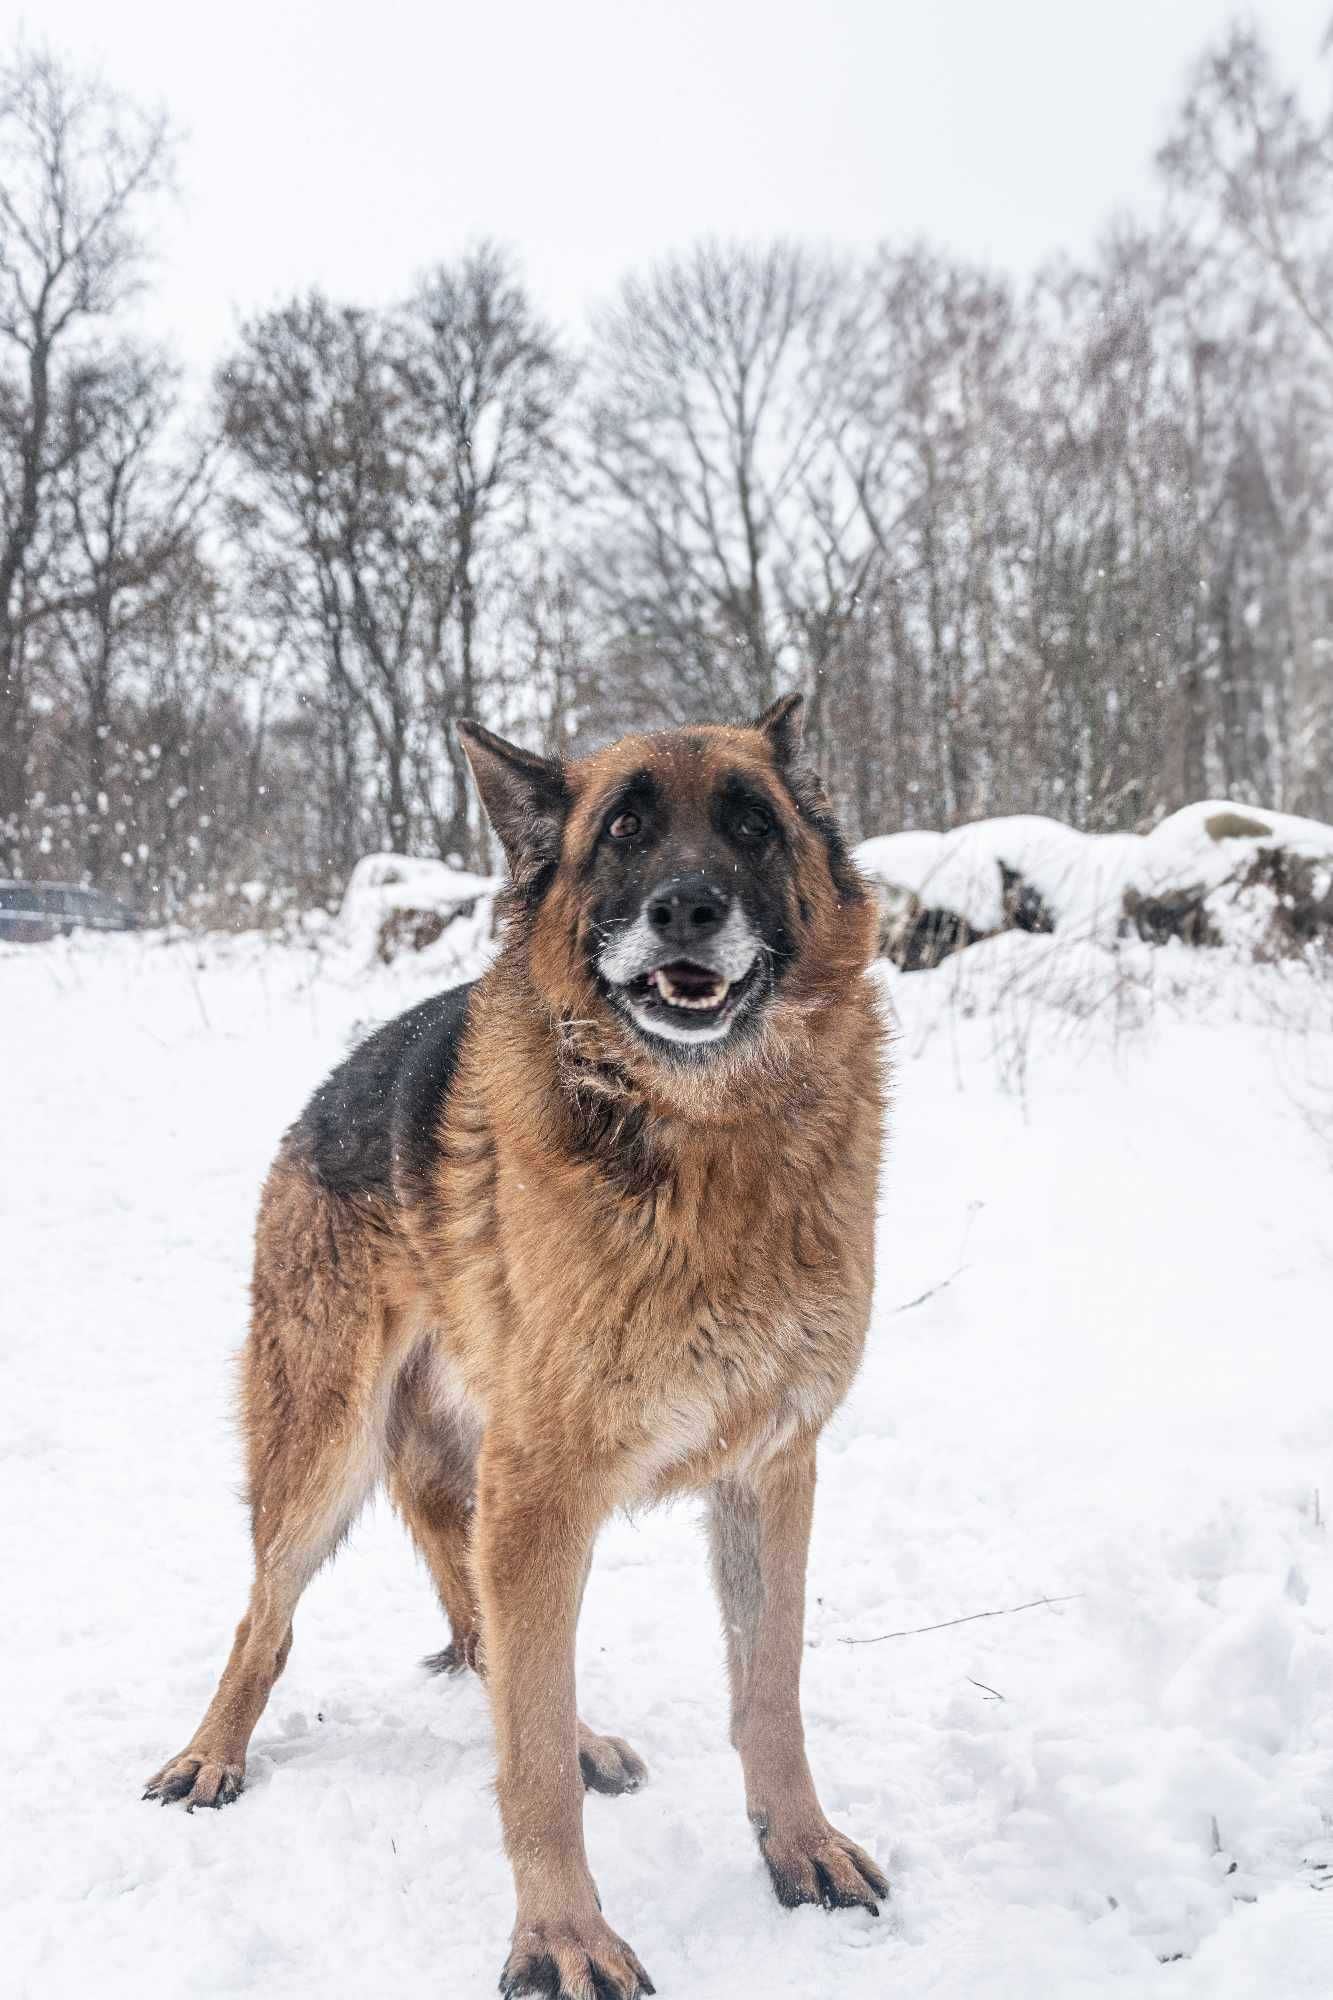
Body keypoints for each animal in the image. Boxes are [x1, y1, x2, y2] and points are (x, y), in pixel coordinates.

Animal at [145, 696, 888, 1992]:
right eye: (624, 830)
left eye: (751, 824)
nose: (686, 908)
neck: (707, 1141)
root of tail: (325, 1093)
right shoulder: (543, 1486)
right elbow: (528, 1765)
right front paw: (562, 1935)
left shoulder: (768, 1473)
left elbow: (770, 1689)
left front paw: (797, 1843)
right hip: (325, 1448)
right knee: (267, 1617)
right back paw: (212, 1751)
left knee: (492, 1633)